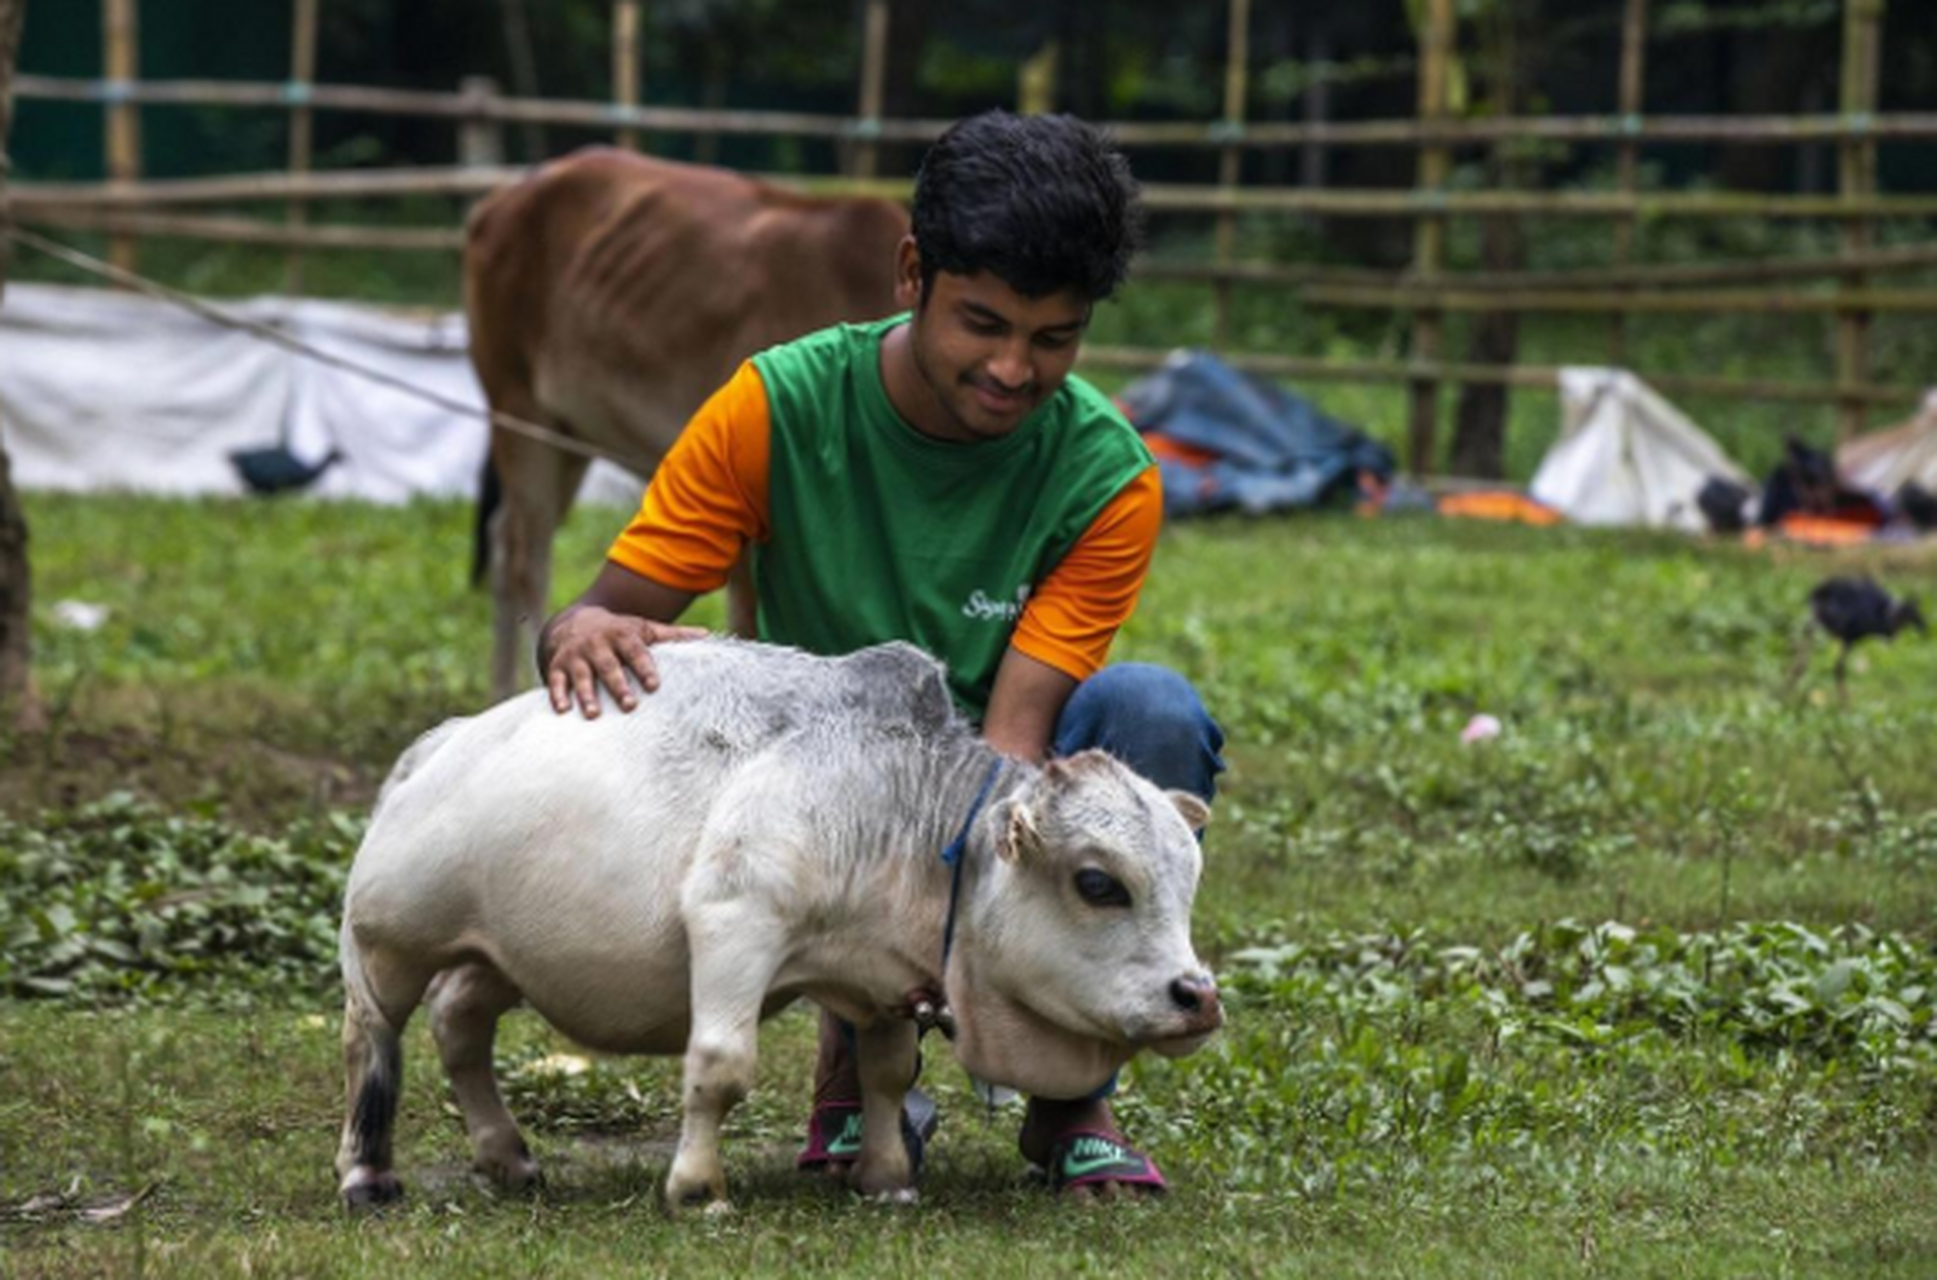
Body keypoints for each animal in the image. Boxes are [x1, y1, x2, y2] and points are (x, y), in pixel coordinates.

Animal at [331, 639, 1208, 1208]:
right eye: (1098, 883)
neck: (894, 802)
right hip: (390, 943)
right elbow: (719, 1066)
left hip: (498, 956)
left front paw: (886, 1181)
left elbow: (887, 1075)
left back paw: (505, 1154)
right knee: (371, 1037)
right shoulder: (736, 922)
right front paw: (696, 1188)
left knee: (459, 1024)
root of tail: (439, 746)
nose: (1197, 995)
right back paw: (366, 1172)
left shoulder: (881, 978)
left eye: (1188, 878)